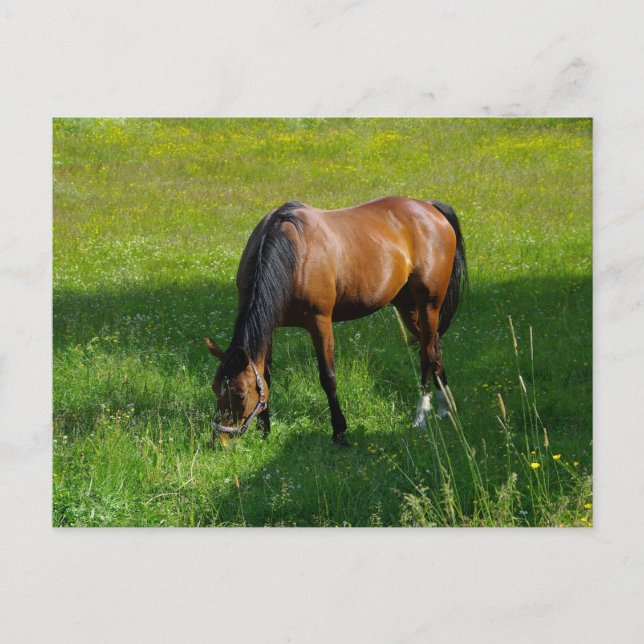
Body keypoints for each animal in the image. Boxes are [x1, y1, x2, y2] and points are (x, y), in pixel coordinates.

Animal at [204, 196, 467, 446]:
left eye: (239, 394)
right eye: (215, 388)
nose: (221, 440)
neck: (293, 252)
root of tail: (429, 207)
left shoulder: (320, 323)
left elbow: (328, 378)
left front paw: (339, 432)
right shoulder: (270, 325)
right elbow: (266, 375)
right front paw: (265, 431)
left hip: (429, 304)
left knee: (427, 354)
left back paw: (421, 416)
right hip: (406, 305)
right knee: (434, 346)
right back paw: (445, 407)